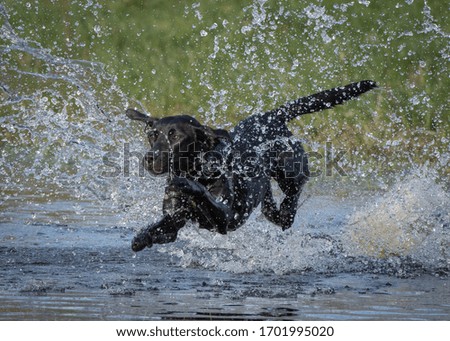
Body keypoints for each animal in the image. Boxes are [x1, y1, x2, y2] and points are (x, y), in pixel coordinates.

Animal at [126, 79, 376, 250]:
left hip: (290, 172)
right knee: (268, 203)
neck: (198, 172)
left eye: (175, 136)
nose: (149, 158)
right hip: (263, 190)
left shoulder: (226, 217)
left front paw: (185, 184)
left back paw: (287, 211)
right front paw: (141, 237)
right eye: (153, 135)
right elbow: (160, 228)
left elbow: (202, 195)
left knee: (294, 194)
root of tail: (272, 115)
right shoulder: (174, 221)